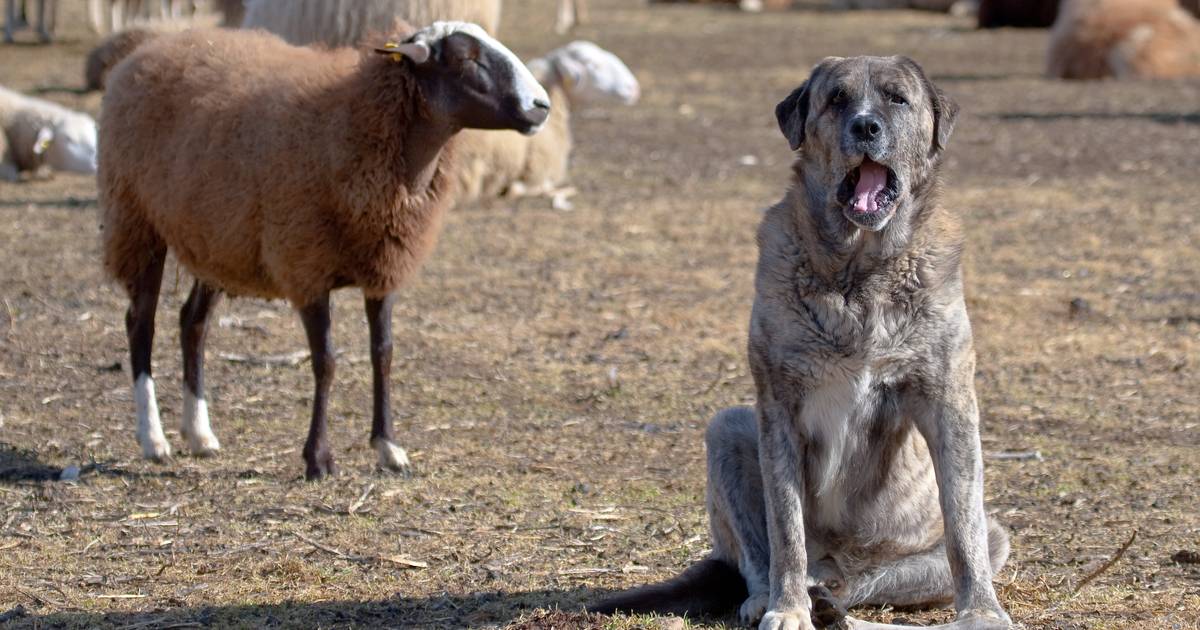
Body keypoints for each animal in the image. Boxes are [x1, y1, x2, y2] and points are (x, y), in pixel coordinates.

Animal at [100, 22, 549, 480]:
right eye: (466, 58)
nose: (541, 106)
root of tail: (151, 48)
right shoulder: (306, 266)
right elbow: (326, 362)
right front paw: (317, 458)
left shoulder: (383, 268)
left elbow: (383, 354)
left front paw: (388, 448)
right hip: (135, 219)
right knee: (140, 324)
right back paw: (154, 440)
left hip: (216, 240)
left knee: (192, 322)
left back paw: (200, 434)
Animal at [590, 55, 1012, 628]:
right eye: (836, 99)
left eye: (897, 99)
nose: (866, 127)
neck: (858, 272)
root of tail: (835, 564)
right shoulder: (779, 408)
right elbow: (785, 531)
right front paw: (787, 609)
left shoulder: (950, 402)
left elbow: (964, 531)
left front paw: (982, 613)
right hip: (728, 428)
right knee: (763, 557)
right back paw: (779, 597)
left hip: (979, 541)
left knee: (866, 586)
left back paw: (834, 604)